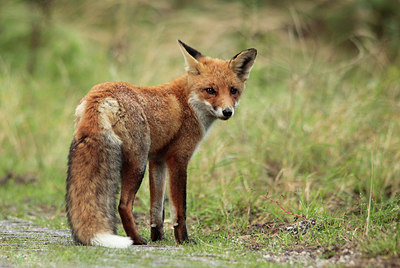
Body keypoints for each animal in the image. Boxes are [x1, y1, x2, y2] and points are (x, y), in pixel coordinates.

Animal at [65, 40, 256, 248]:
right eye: (210, 90)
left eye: (233, 90)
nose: (227, 112)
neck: (188, 103)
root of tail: (99, 95)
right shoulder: (178, 158)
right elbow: (179, 209)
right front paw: (183, 240)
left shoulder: (157, 160)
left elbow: (156, 209)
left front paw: (158, 237)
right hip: (138, 163)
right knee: (123, 205)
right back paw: (136, 240)